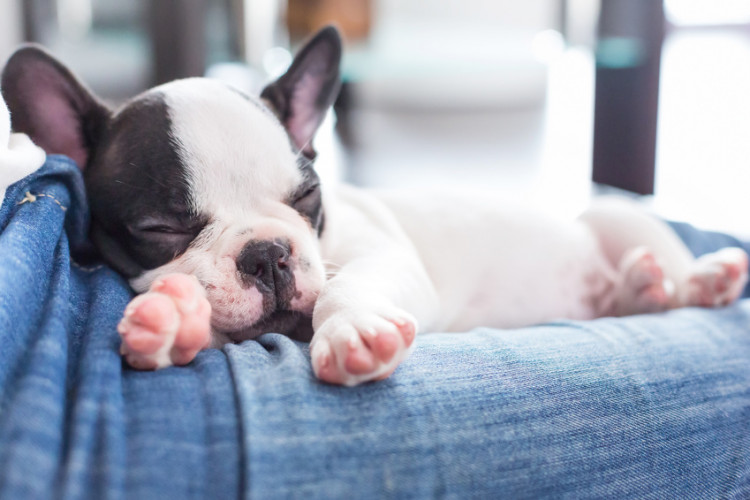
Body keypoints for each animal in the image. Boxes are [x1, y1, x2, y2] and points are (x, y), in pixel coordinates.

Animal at [2, 27, 748, 386]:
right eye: (161, 228)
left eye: (307, 197)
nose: (269, 255)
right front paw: (171, 322)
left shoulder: (381, 259)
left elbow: (346, 287)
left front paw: (352, 331)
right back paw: (639, 287)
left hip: (613, 217)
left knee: (663, 256)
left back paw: (694, 279)